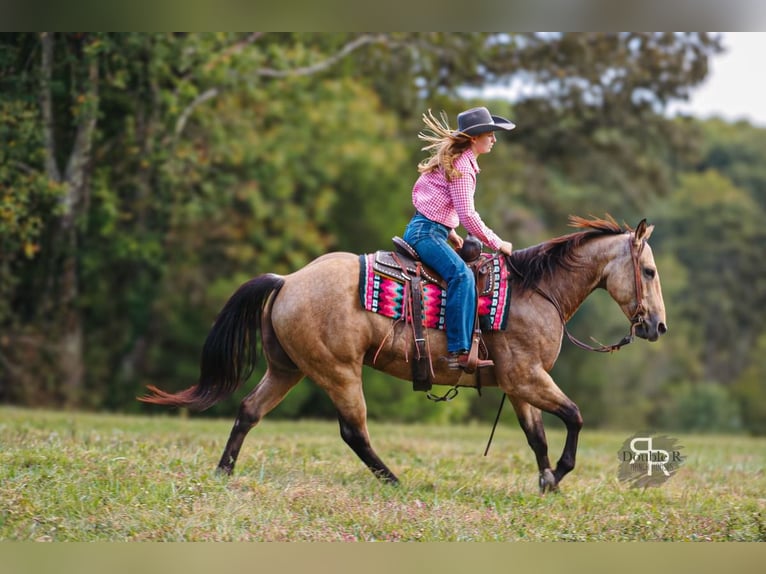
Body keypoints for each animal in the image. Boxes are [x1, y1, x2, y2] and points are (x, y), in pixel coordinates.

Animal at [139, 215, 667, 493]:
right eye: (649, 270)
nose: (657, 326)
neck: (537, 292)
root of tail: (288, 280)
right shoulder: (527, 377)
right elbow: (574, 416)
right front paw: (558, 474)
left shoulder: (518, 385)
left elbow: (537, 436)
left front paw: (547, 482)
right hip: (338, 372)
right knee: (353, 431)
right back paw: (393, 479)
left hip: (287, 369)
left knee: (249, 410)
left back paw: (223, 471)